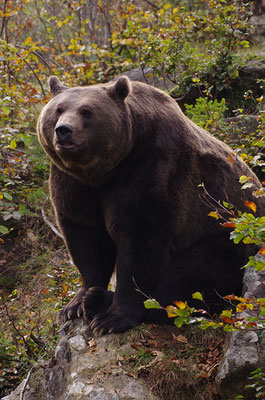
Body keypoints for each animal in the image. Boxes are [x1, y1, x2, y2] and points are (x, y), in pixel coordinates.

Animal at [37, 76, 264, 334]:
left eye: (87, 111)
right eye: (58, 109)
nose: (63, 130)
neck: (104, 171)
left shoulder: (153, 167)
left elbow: (141, 243)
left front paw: (111, 319)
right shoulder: (75, 186)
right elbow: (87, 239)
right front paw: (74, 305)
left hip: (228, 237)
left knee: (189, 282)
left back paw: (103, 301)